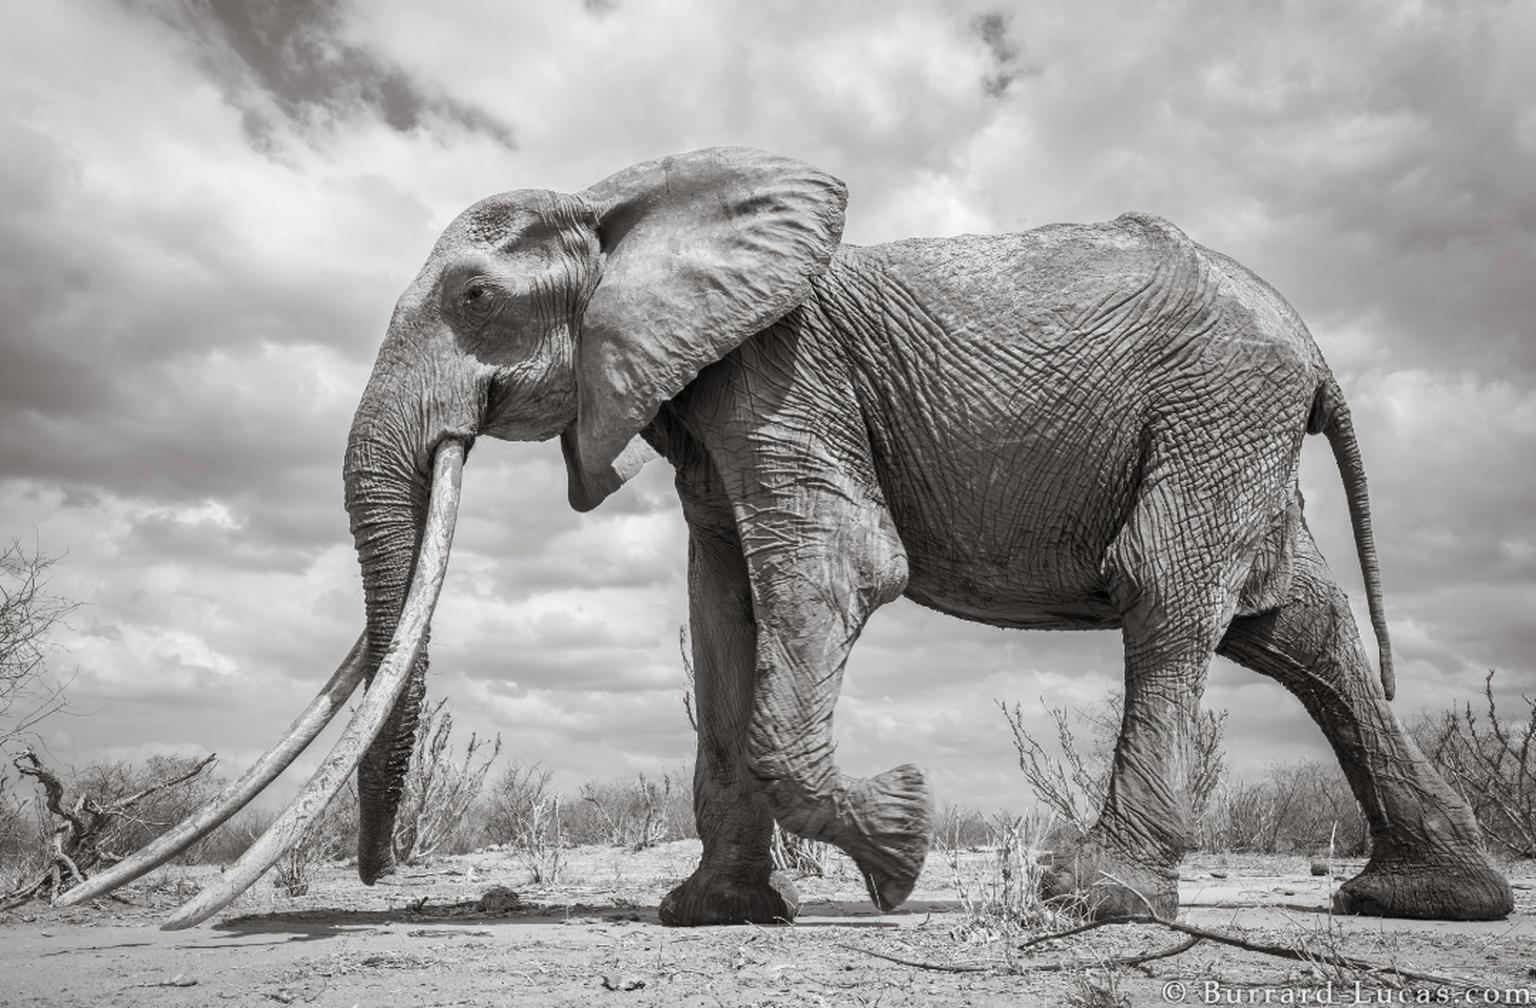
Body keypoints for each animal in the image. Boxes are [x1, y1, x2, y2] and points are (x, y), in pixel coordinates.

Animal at [66, 145, 1505, 928]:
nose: (370, 878)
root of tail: (1316, 349)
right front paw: (712, 912)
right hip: (1236, 427)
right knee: (1297, 630)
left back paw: (1091, 901)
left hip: (1218, 409)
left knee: (1171, 598)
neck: (624, 198)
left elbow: (831, 573)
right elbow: (723, 612)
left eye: (472, 299)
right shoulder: (708, 411)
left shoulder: (782, 376)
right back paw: (1429, 900)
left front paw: (902, 849)